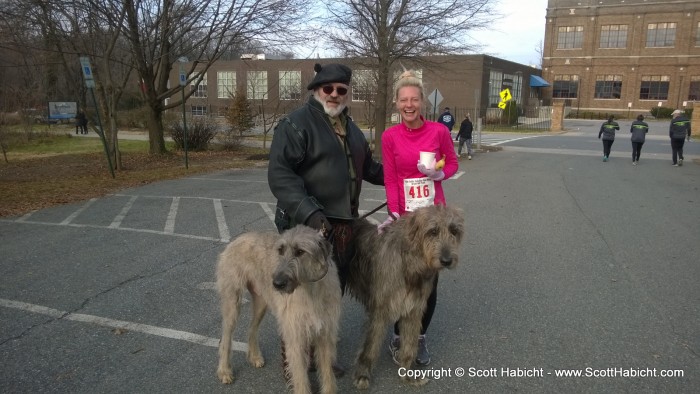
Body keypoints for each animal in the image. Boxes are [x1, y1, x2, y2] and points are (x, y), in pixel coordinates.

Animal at [216, 225, 342, 394]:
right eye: (280, 250)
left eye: (300, 252)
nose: (277, 283)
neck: (311, 289)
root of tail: (236, 239)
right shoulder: (295, 338)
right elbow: (300, 377)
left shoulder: (325, 334)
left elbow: (327, 373)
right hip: (232, 302)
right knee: (226, 337)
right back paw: (224, 371)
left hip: (261, 302)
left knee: (251, 328)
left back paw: (254, 356)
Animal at [346, 205, 464, 390]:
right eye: (433, 231)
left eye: (454, 231)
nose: (447, 260)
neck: (410, 264)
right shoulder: (379, 310)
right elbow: (370, 345)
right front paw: (362, 374)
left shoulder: (414, 309)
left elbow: (409, 345)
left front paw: (408, 375)